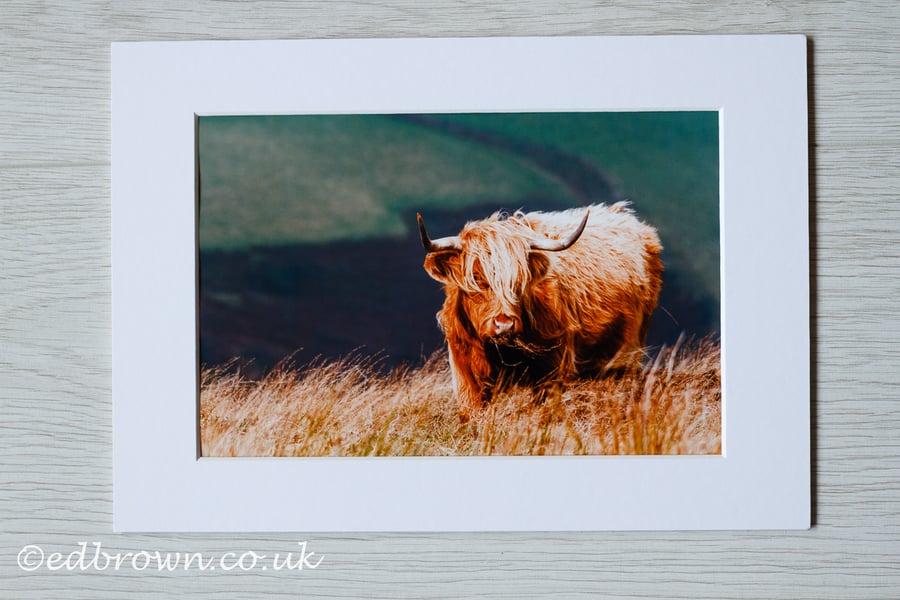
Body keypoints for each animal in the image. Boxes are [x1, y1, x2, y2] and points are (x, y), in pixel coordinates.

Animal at [417, 202, 663, 419]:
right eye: (476, 278)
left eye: (519, 280)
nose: (504, 324)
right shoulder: (465, 373)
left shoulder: (553, 371)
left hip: (628, 350)